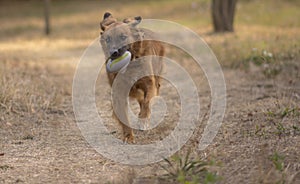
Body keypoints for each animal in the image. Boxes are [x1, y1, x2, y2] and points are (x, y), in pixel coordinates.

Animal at [99, 12, 164, 142]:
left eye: (123, 37)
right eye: (107, 39)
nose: (114, 52)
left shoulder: (150, 84)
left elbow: (147, 102)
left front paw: (143, 119)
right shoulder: (119, 92)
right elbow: (124, 115)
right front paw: (128, 136)